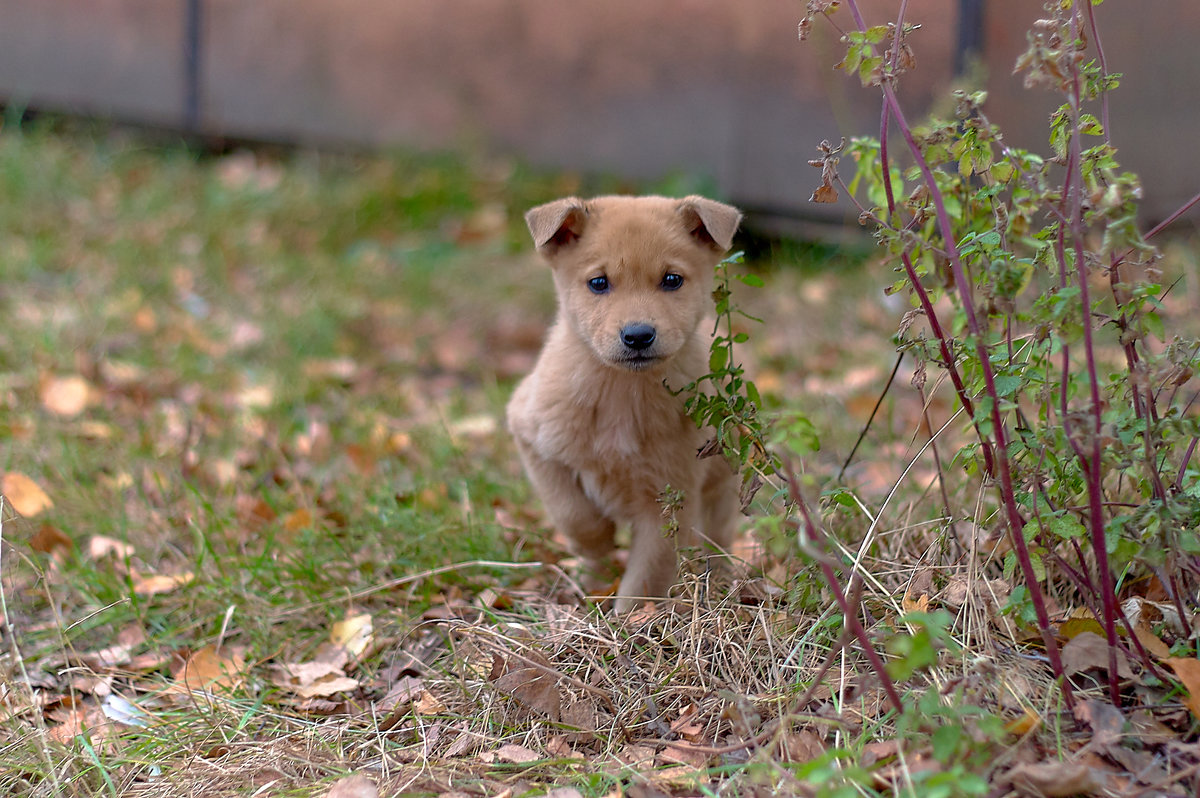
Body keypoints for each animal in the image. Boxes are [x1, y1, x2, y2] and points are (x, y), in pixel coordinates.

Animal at [506, 193, 739, 609]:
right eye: (598, 283)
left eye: (672, 280)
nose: (638, 335)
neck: (622, 393)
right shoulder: (532, 439)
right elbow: (573, 513)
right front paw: (597, 542)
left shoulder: (669, 497)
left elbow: (646, 577)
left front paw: (629, 622)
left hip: (721, 490)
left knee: (719, 541)